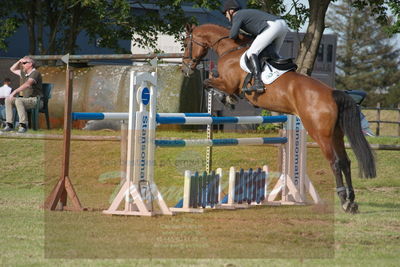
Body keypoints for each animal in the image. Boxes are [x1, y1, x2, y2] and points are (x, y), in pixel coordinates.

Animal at [183, 24, 376, 215]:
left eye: (186, 44)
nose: (186, 68)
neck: (230, 49)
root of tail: (332, 93)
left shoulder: (228, 83)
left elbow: (208, 83)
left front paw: (227, 99)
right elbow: (210, 83)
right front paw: (227, 99)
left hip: (320, 134)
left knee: (335, 163)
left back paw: (344, 201)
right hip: (336, 134)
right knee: (345, 162)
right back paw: (352, 202)